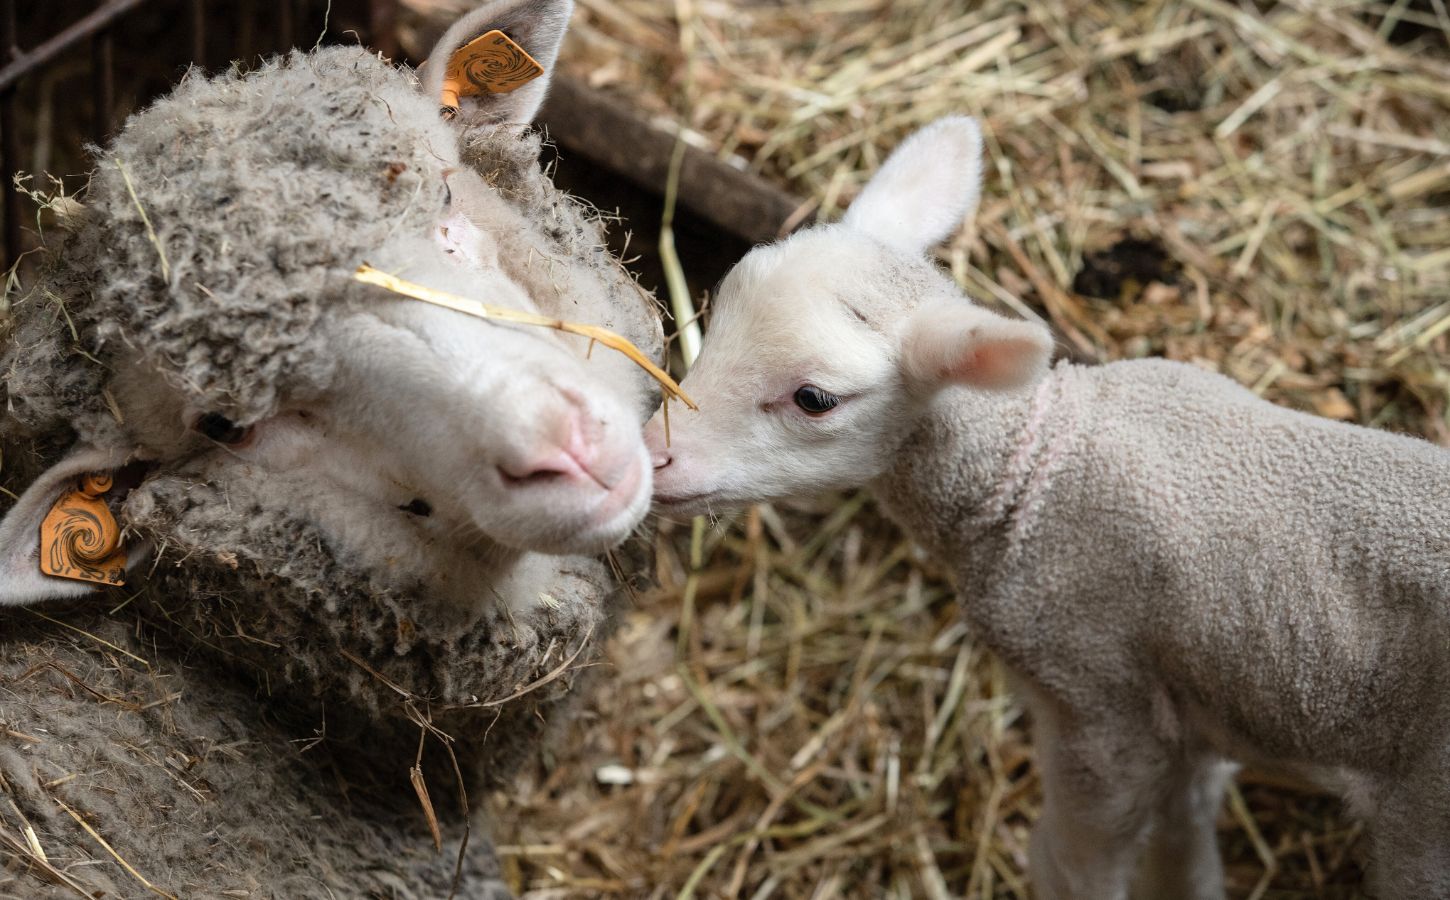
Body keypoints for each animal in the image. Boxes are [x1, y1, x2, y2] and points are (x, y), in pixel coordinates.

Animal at [646, 117, 1450, 898]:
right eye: (715, 311)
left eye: (815, 399)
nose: (655, 454)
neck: (1038, 467)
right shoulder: (1187, 706)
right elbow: (1184, 838)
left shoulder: (1097, 703)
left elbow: (1071, 865)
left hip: (1423, 821)